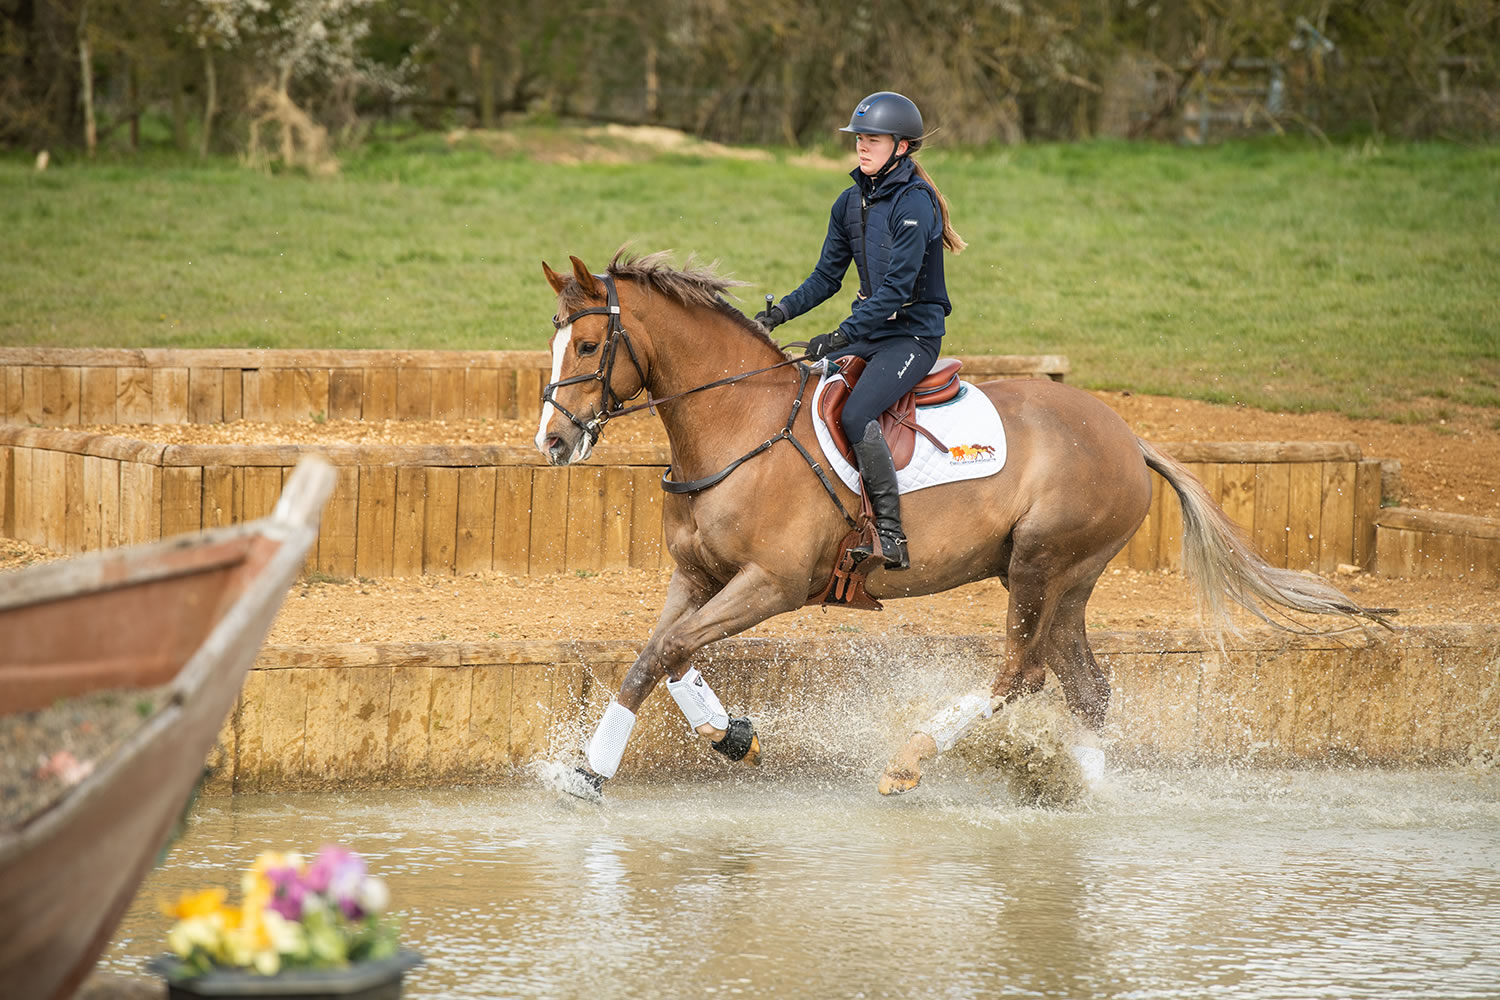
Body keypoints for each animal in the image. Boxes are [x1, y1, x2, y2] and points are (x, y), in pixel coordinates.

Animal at [534, 250, 1386, 797]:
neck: (738, 427)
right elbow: (658, 655)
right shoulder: (698, 575)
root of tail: (1127, 436)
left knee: (1023, 673)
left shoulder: (771, 585)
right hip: (1061, 580)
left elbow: (669, 651)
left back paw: (911, 758)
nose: (552, 442)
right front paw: (703, 738)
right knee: (1086, 686)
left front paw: (607, 768)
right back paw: (1083, 793)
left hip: (1043, 565)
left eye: (588, 344)